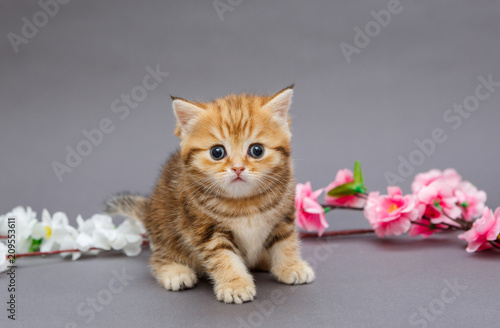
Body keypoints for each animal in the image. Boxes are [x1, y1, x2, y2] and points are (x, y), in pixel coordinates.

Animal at [106, 86, 312, 304]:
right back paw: (174, 271)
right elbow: (224, 258)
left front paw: (291, 266)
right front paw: (235, 284)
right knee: (159, 256)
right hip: (164, 225)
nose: (238, 168)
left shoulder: (284, 216)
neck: (245, 202)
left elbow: (285, 243)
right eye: (217, 152)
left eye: (257, 150)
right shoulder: (207, 231)